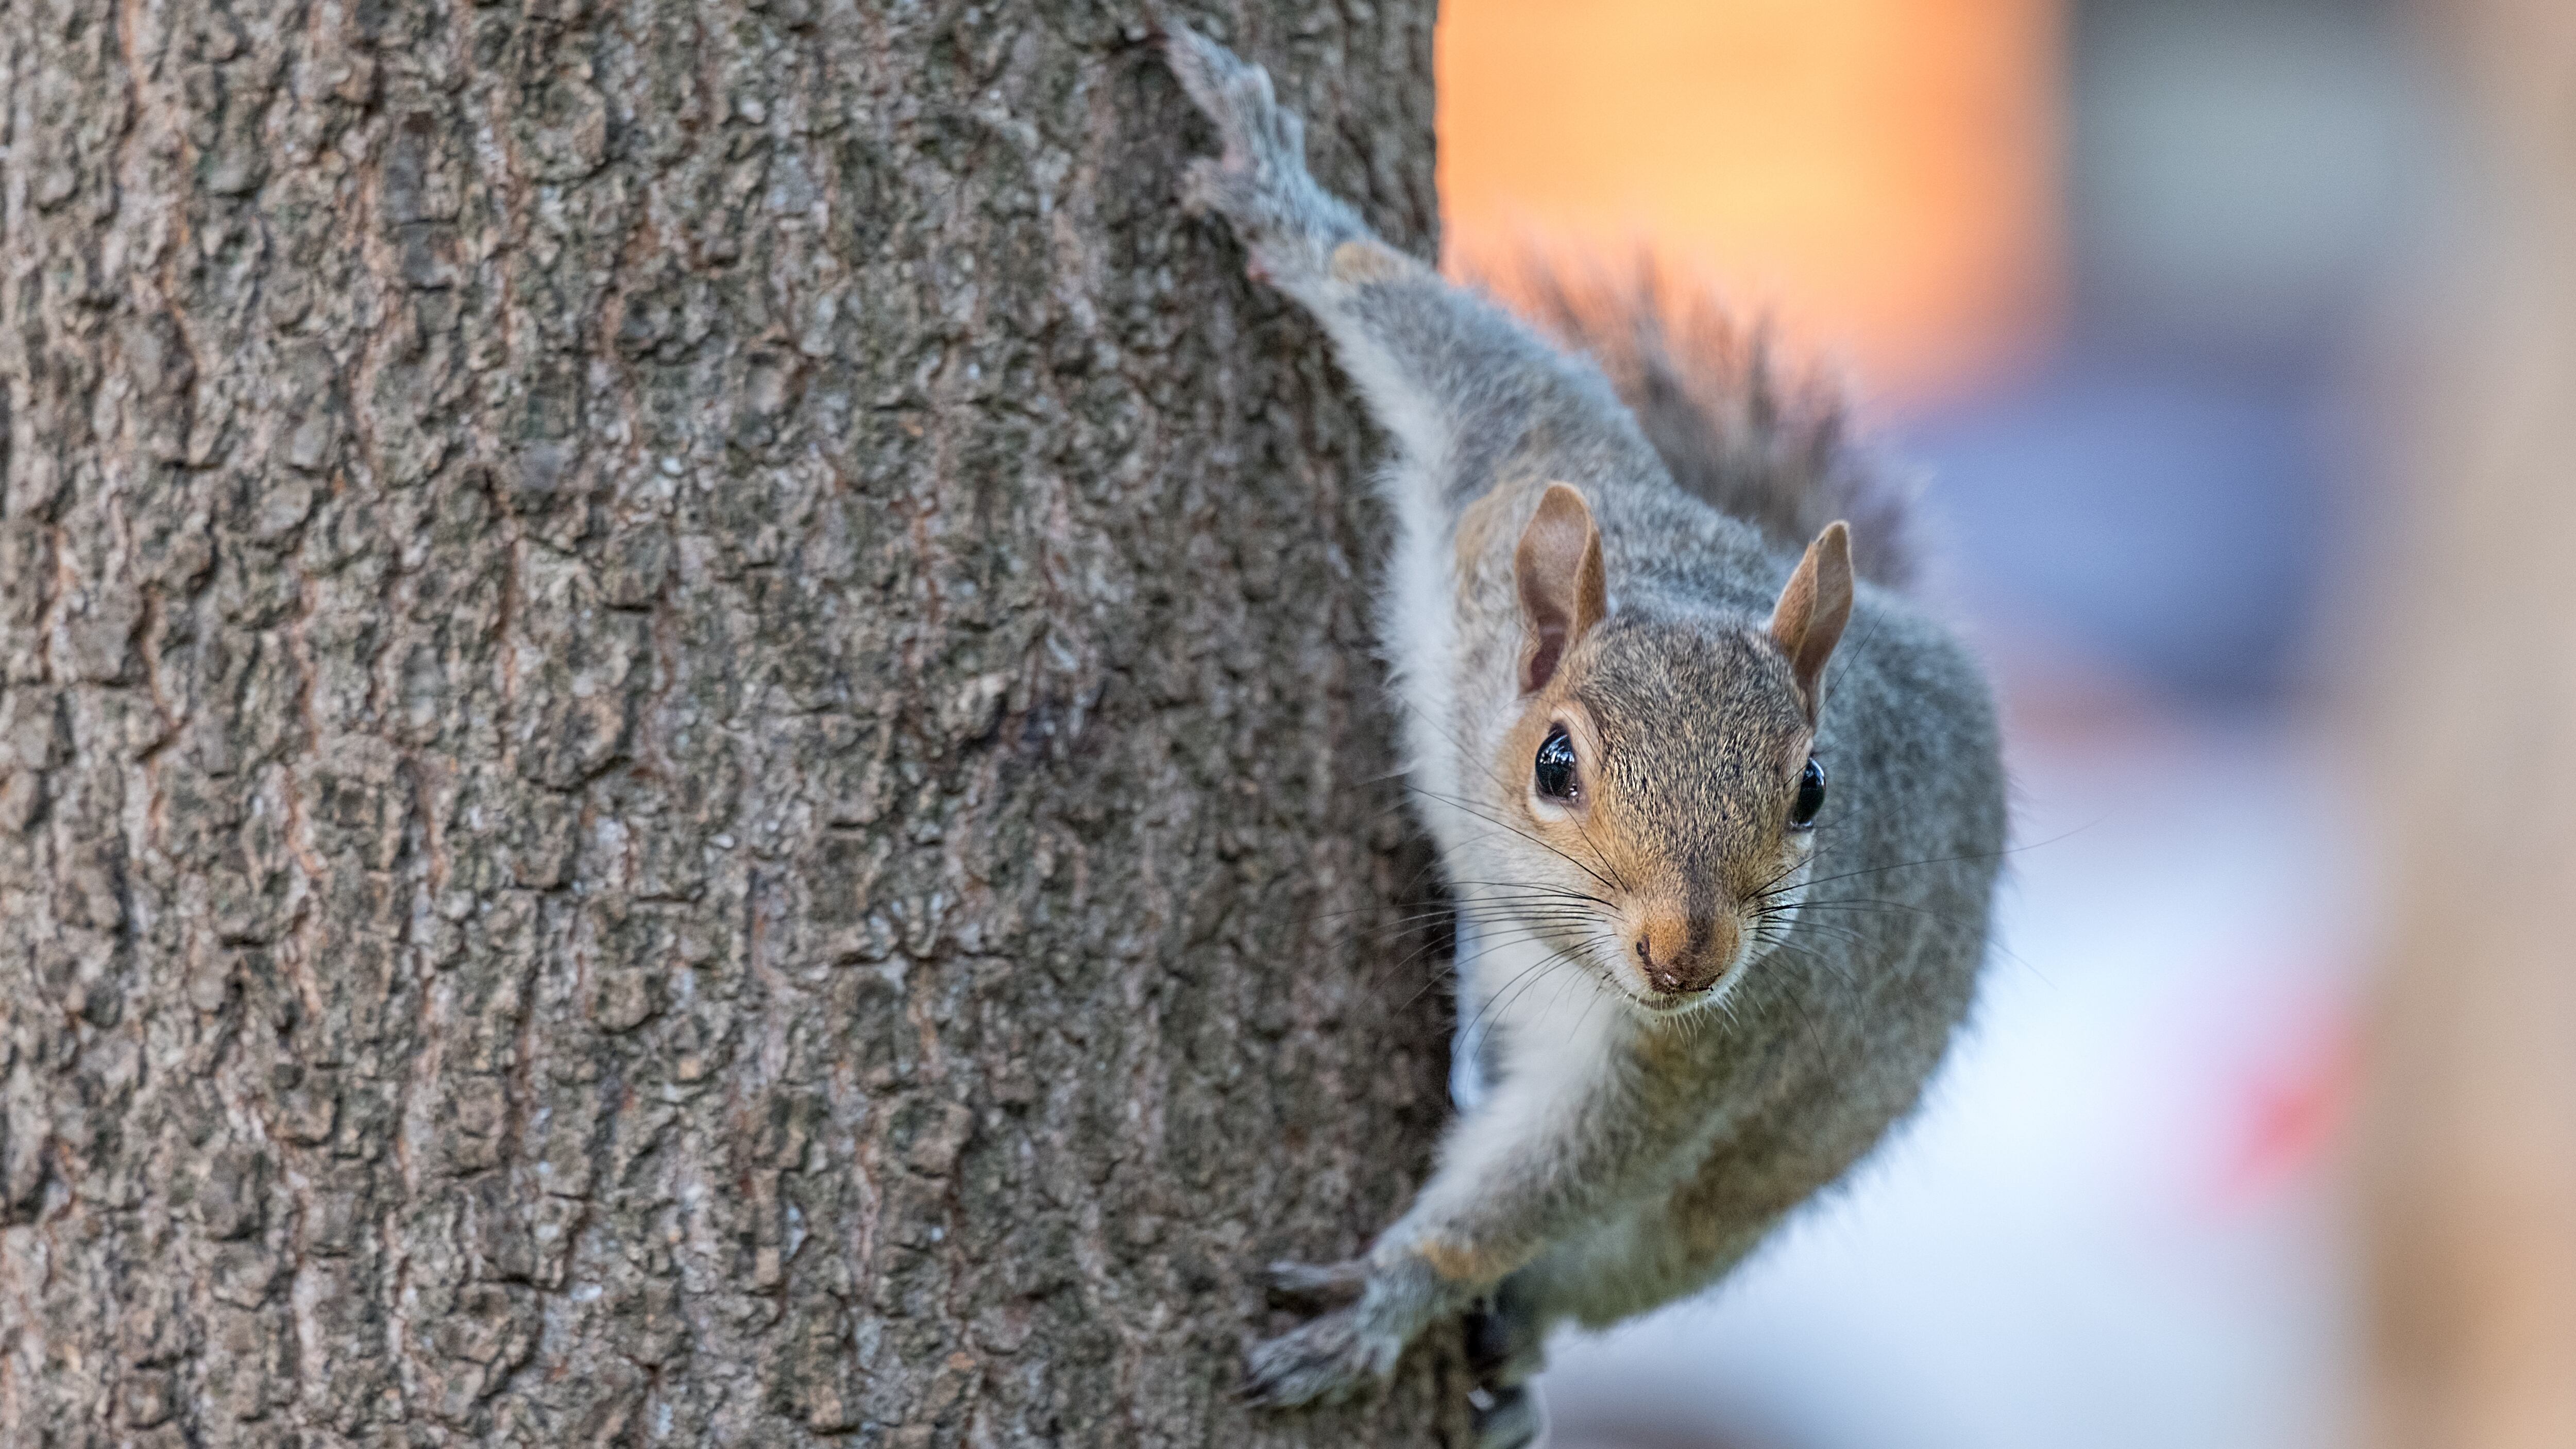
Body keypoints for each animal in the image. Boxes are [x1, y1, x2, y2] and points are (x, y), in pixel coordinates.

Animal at [1161, 24, 2008, 1448]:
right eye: (1554, 762)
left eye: (1812, 790)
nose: (1685, 952)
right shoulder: (1511, 475)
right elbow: (1443, 339)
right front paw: (1281, 196)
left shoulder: (1708, 1047)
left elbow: (1557, 1173)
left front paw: (1393, 1291)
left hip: (1723, 1209)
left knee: (1595, 1265)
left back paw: (1516, 1353)